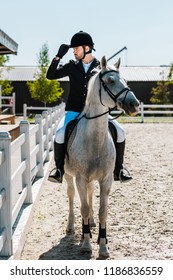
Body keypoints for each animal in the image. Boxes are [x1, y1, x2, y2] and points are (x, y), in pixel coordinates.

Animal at [63, 56, 139, 258]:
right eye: (110, 81)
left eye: (126, 81)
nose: (134, 105)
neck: (95, 140)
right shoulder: (80, 178)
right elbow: (83, 208)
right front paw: (86, 244)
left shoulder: (106, 180)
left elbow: (102, 211)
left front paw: (103, 247)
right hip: (68, 175)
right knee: (72, 196)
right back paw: (72, 226)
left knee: (90, 195)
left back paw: (90, 224)